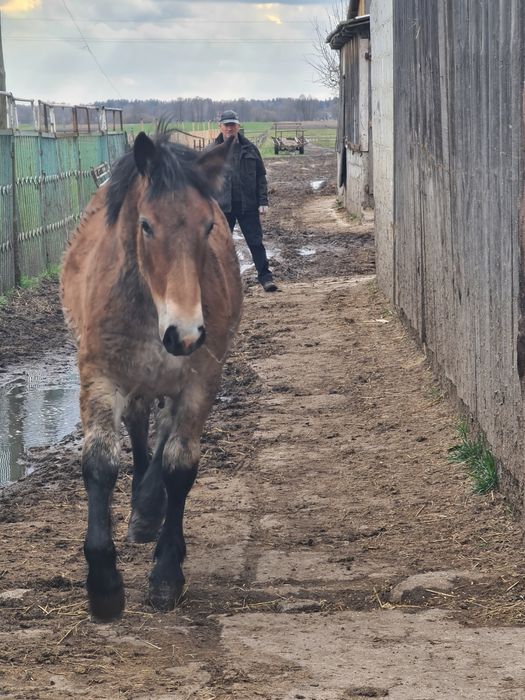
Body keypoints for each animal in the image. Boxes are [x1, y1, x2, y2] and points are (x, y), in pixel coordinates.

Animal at [61, 129, 242, 620]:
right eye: (146, 225)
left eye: (208, 226)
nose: (185, 333)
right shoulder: (101, 377)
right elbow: (100, 462)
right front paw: (104, 586)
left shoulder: (199, 382)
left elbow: (179, 465)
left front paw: (166, 574)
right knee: (142, 430)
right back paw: (142, 515)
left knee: (161, 437)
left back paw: (149, 509)